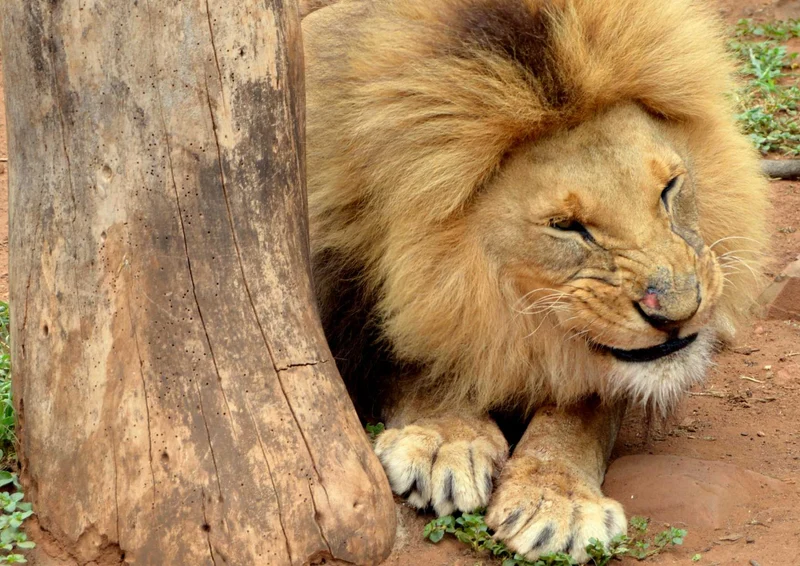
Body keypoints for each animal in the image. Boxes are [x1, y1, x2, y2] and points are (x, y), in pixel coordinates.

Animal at [303, 0, 769, 561]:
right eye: (566, 227)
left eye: (669, 188)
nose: (682, 312)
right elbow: (419, 358)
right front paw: (446, 439)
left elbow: (582, 406)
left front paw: (557, 499)